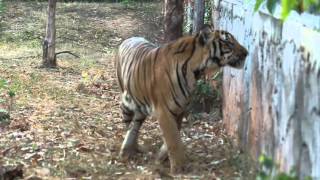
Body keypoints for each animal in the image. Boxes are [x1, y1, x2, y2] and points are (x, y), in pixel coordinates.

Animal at [115, 25, 248, 173]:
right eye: (228, 42)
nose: (246, 53)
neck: (196, 71)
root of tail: (129, 39)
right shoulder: (164, 111)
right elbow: (173, 139)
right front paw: (179, 167)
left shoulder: (180, 108)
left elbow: (174, 135)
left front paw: (162, 157)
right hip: (127, 100)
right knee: (128, 124)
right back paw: (127, 150)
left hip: (141, 106)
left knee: (135, 124)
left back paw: (133, 148)